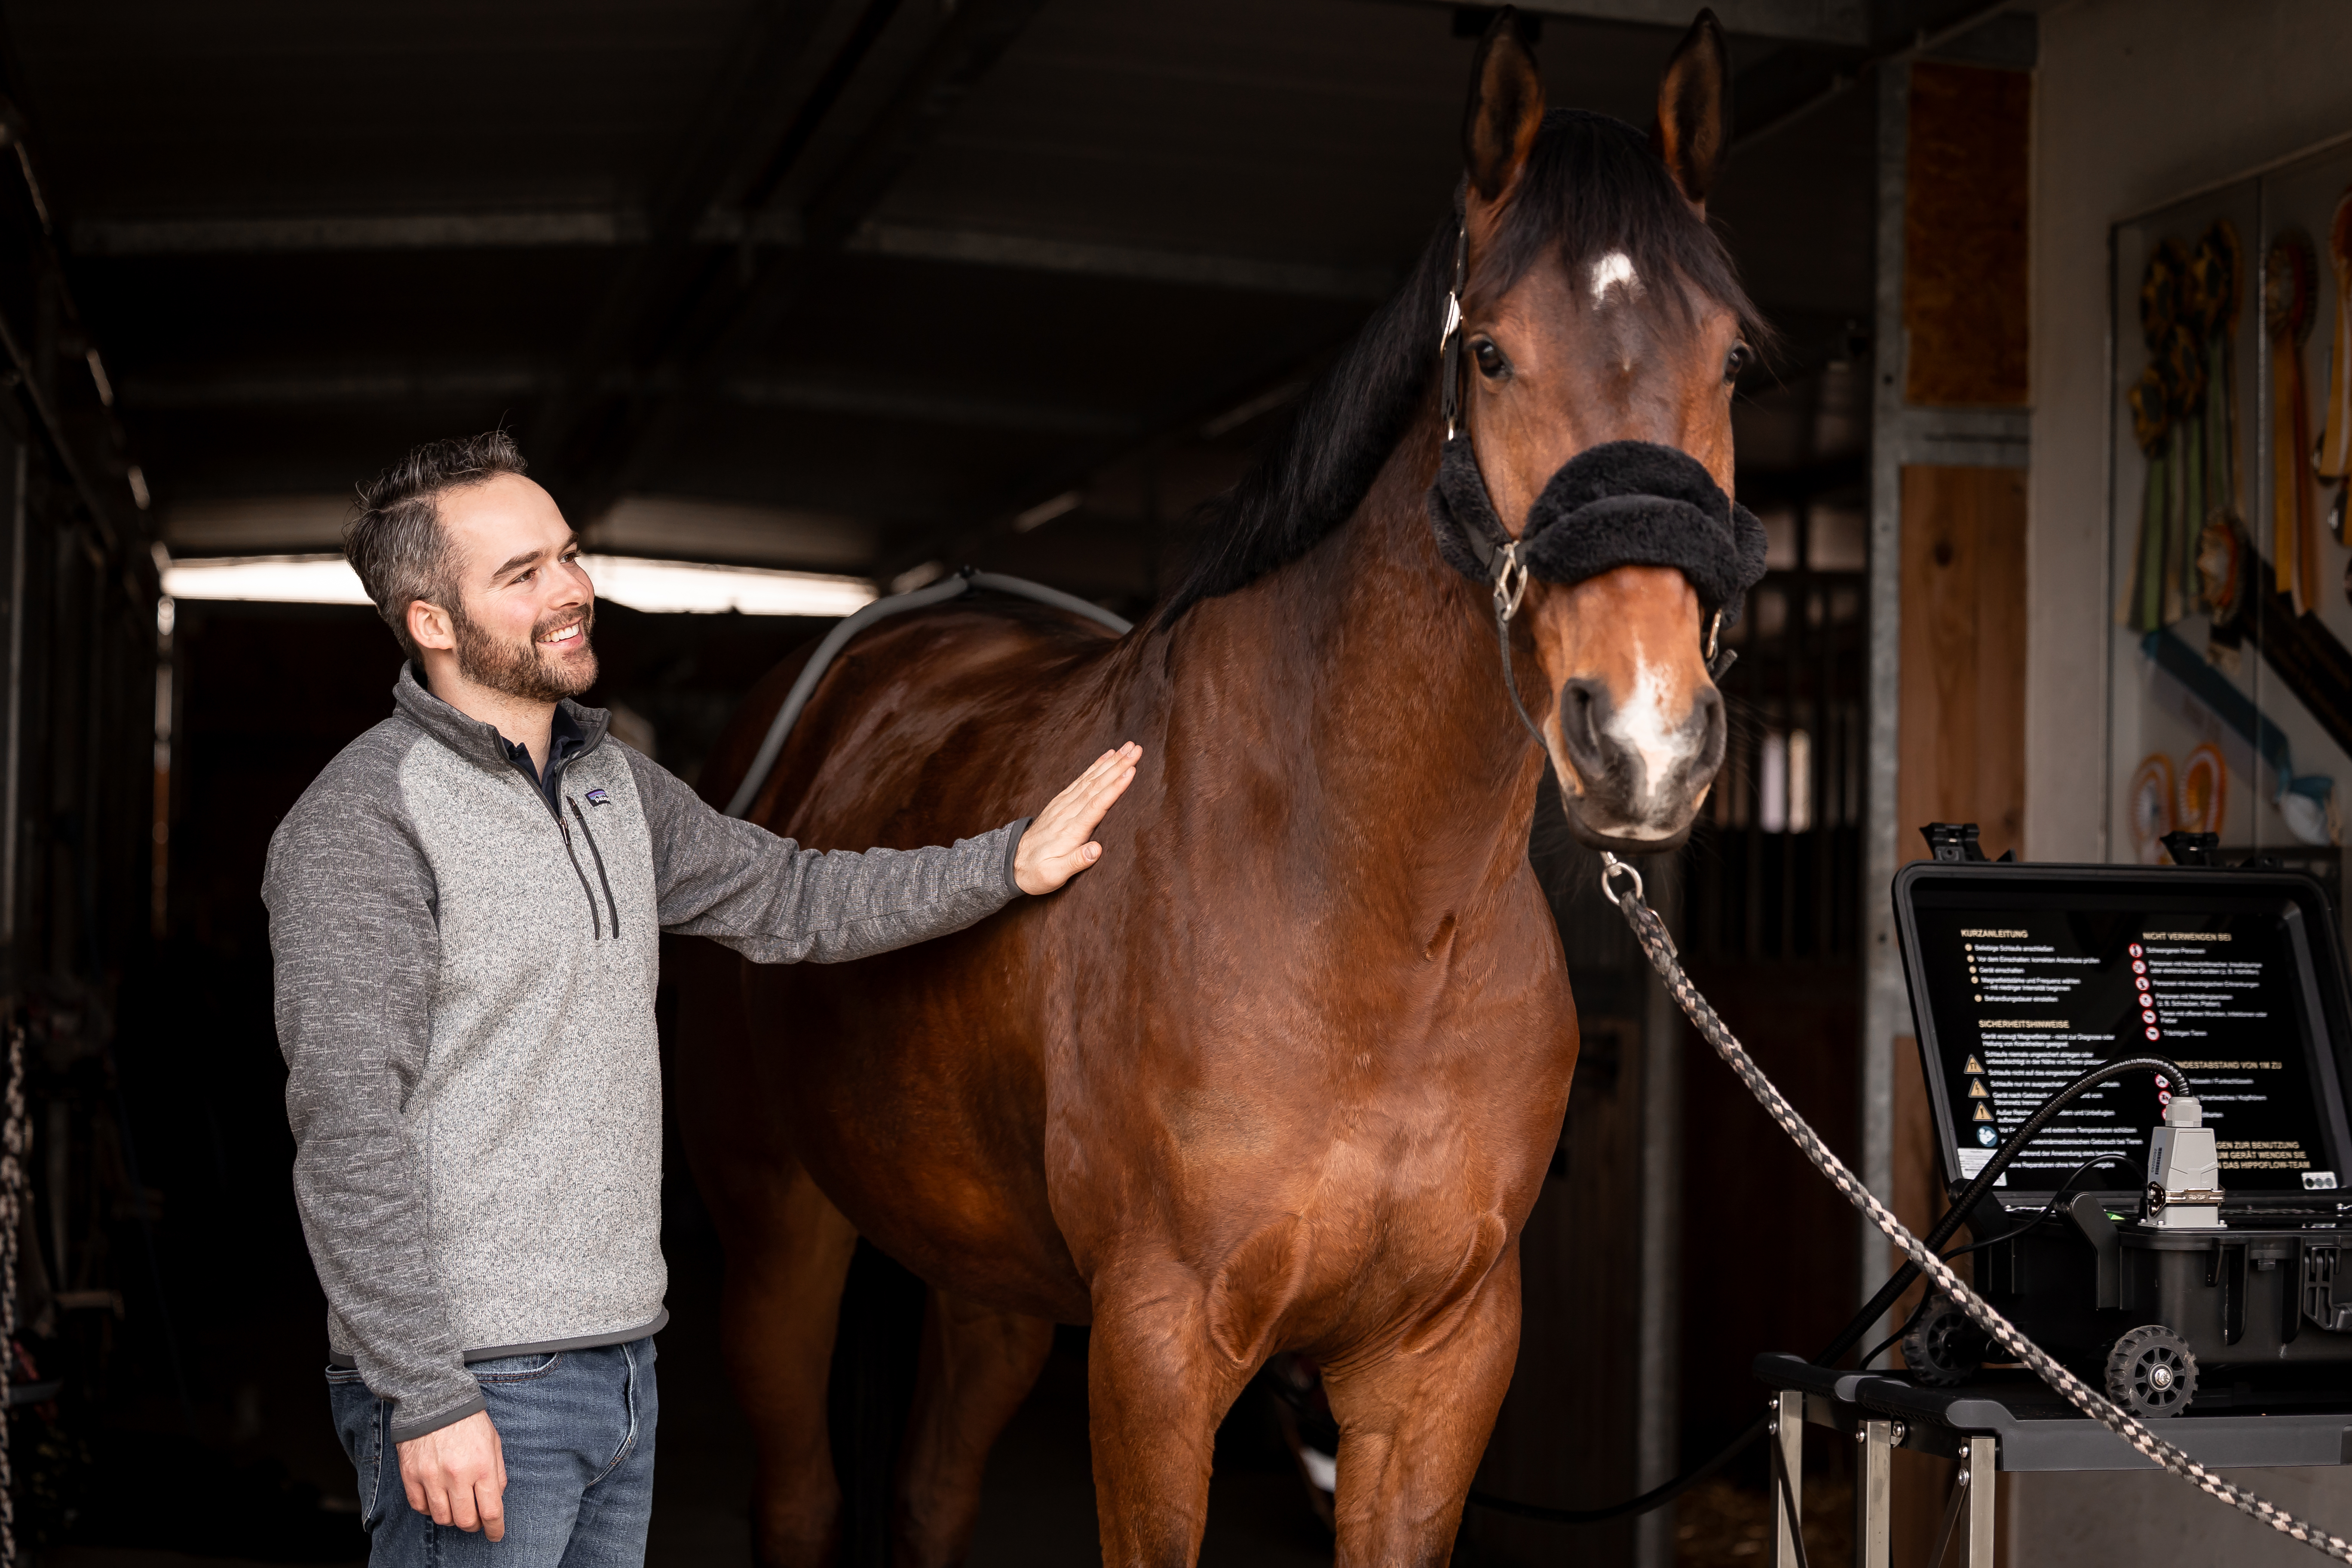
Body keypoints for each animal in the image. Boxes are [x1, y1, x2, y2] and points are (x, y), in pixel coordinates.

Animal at [675, 13, 1762, 1565]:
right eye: (1491, 353)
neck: (1373, 921)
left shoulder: (1437, 1367)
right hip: (779, 1234)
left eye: (1732, 362)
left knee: (930, 1489)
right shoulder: (1158, 1354)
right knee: (802, 1499)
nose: (1645, 733)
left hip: (989, 1284)